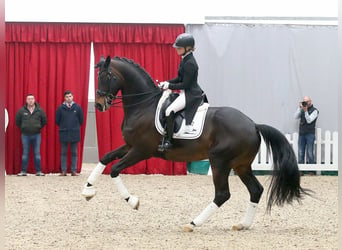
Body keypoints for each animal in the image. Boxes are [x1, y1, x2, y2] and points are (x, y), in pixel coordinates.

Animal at [82, 55, 310, 231]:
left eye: (107, 76)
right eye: (97, 77)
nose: (100, 105)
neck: (143, 105)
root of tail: (253, 124)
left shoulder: (141, 150)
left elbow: (115, 169)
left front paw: (133, 201)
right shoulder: (130, 146)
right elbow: (105, 158)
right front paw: (87, 190)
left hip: (219, 161)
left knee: (222, 194)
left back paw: (192, 223)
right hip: (241, 165)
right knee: (255, 190)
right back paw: (242, 224)